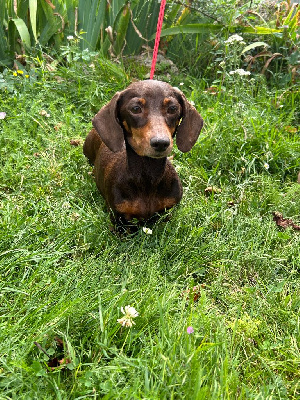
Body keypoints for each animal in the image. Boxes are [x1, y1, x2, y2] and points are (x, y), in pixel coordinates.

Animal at [83, 79, 203, 225]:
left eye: (173, 108)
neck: (148, 178)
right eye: (135, 108)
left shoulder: (169, 211)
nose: (161, 143)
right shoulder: (118, 219)